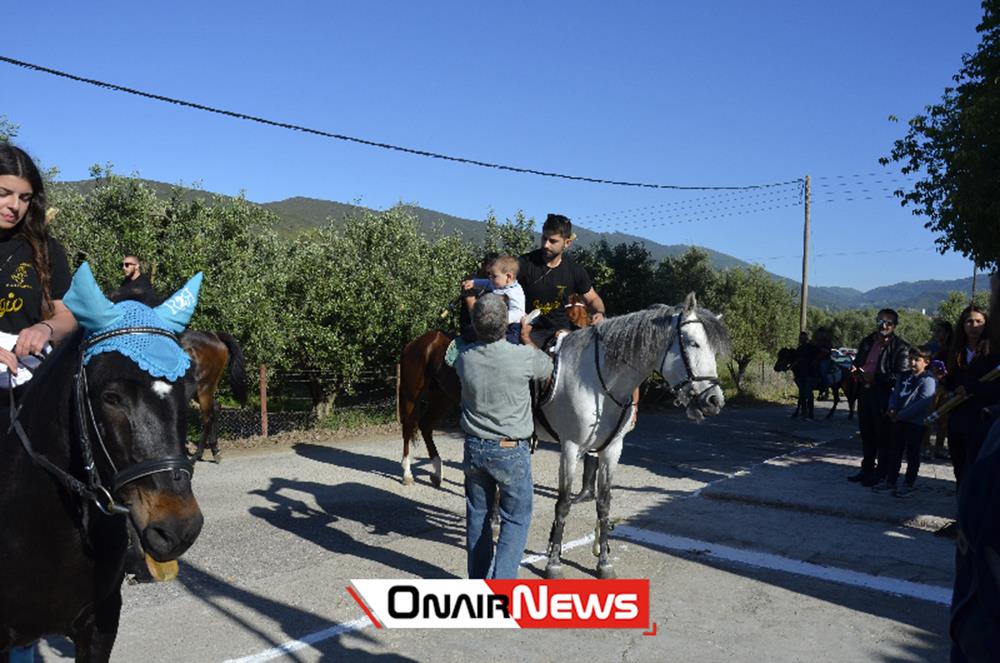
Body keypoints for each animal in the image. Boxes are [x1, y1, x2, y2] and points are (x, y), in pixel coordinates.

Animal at [536, 294, 732, 580]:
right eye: (693, 342)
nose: (714, 401)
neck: (598, 380)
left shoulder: (611, 449)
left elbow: (604, 504)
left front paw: (604, 562)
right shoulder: (570, 447)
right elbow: (562, 503)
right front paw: (553, 563)